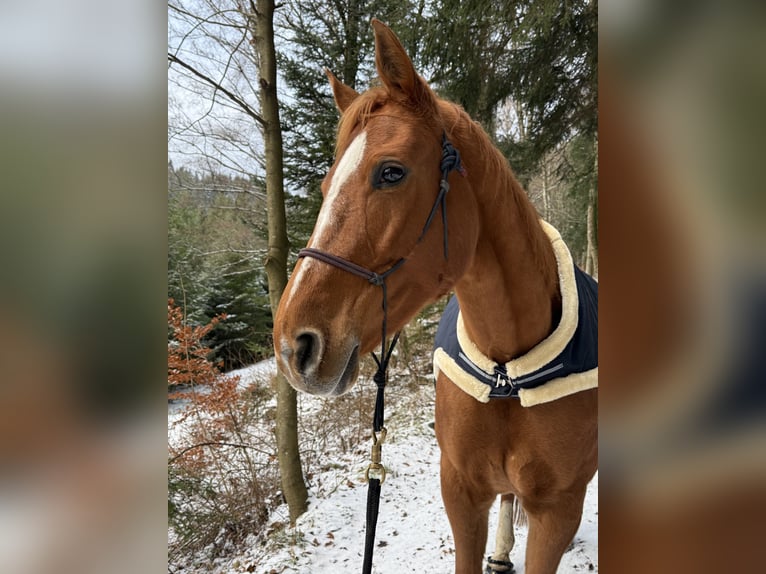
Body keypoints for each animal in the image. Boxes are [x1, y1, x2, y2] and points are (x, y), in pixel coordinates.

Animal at [273, 19, 598, 574]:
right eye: (323, 185)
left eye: (391, 172)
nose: (294, 345)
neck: (506, 372)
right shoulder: (461, 496)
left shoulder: (557, 513)